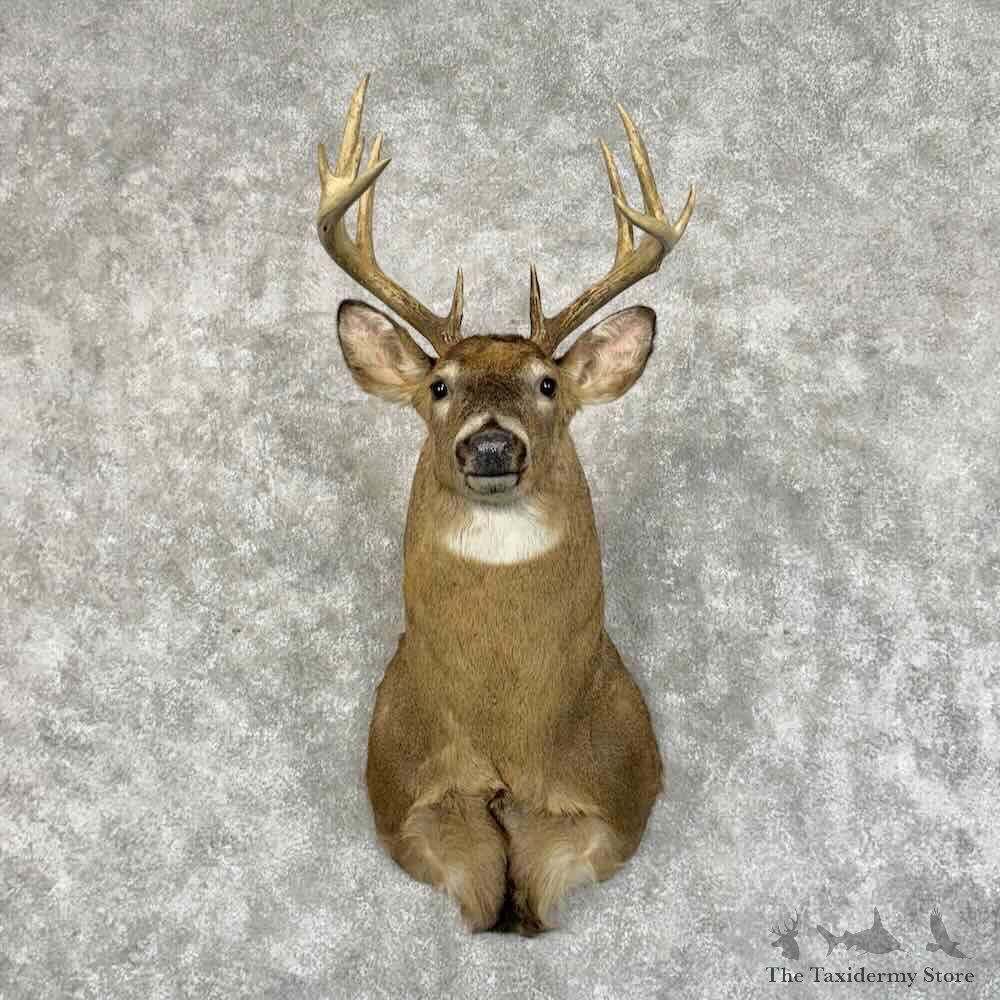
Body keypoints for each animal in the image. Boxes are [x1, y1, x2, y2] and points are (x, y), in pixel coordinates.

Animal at [315, 75, 695, 936]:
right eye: (438, 385)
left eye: (547, 383)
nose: (491, 446)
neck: (506, 739)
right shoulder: (412, 808)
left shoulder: (608, 810)